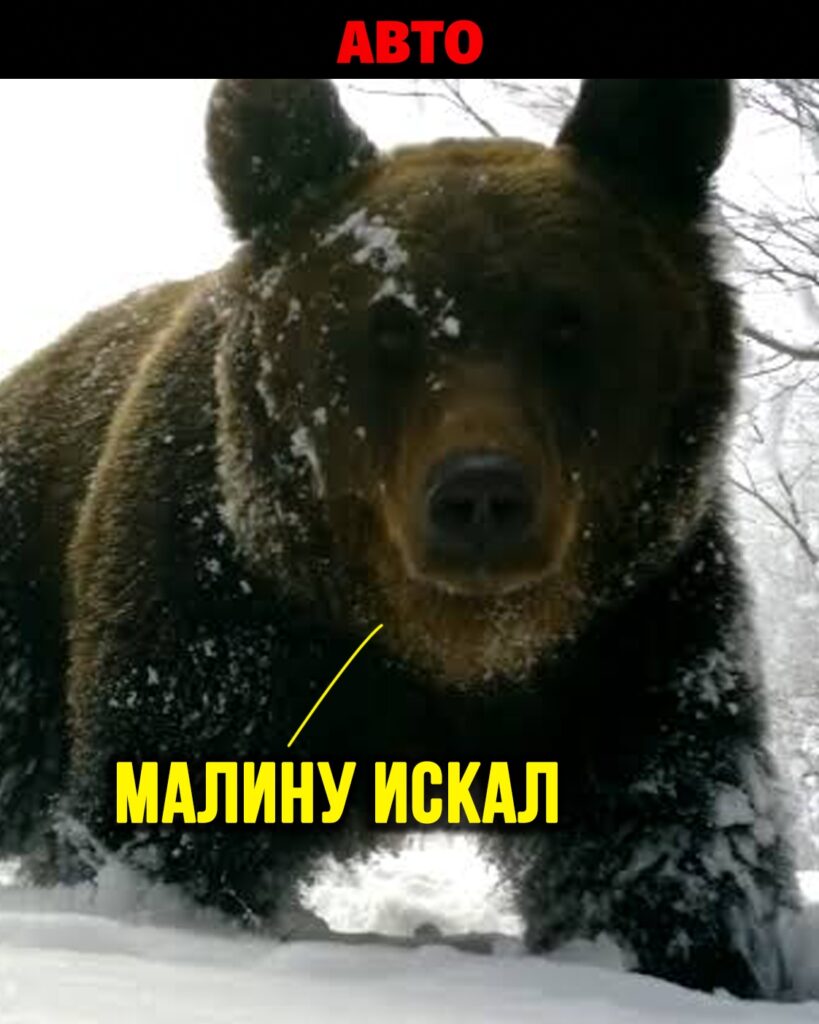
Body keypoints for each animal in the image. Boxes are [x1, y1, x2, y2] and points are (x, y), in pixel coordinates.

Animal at [0, 78, 801, 998]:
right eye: (388, 328)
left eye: (565, 322)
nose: (481, 495)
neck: (445, 643)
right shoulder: (221, 618)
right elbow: (169, 812)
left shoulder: (635, 634)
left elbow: (669, 835)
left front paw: (695, 954)